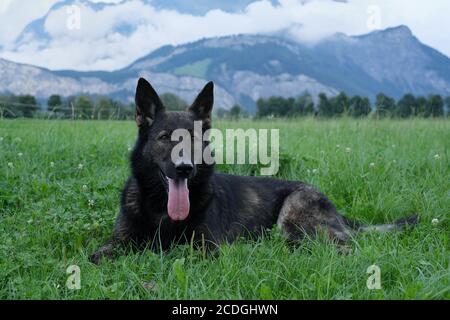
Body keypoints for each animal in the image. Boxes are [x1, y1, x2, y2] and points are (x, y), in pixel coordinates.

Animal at [89, 78, 418, 264]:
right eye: (164, 137)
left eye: (193, 138)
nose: (184, 168)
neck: (161, 210)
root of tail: (336, 211)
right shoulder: (119, 240)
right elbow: (96, 256)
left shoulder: (207, 249)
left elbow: (169, 253)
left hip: (294, 218)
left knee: (342, 249)